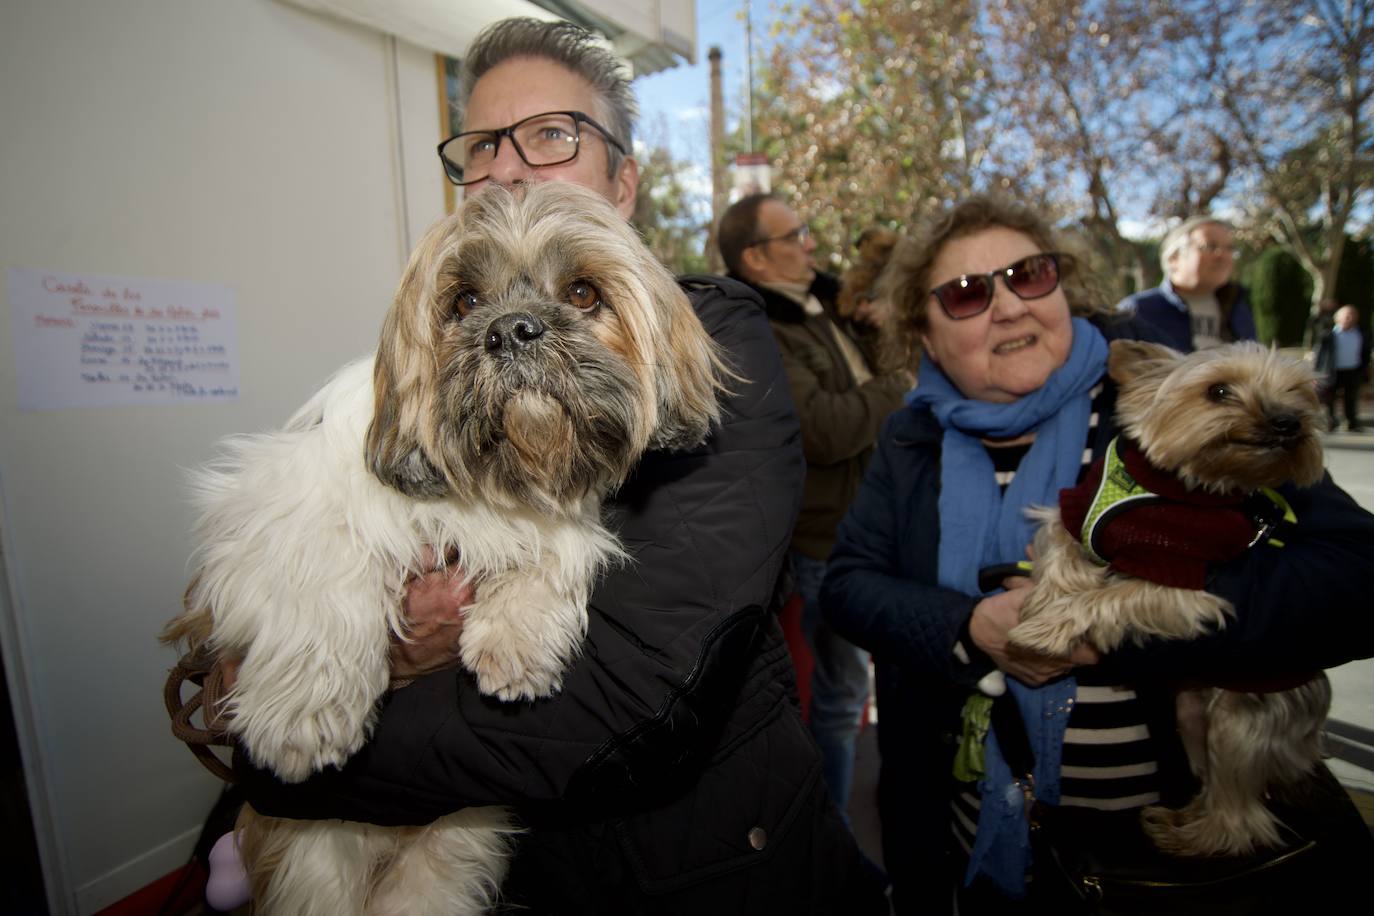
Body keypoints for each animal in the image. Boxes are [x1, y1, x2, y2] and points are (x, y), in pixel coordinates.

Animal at [162, 182, 730, 911]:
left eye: (582, 293)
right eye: (463, 303)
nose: (512, 330)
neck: (490, 479)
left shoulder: (554, 523)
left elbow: (551, 552)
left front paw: (517, 638)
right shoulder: (277, 508)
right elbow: (324, 569)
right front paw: (305, 711)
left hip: (446, 861)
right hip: (313, 862)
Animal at [1011, 339, 1330, 862]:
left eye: (1300, 393)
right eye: (1218, 391)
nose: (1289, 421)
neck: (1164, 486)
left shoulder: (1184, 586)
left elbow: (1113, 594)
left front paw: (1045, 628)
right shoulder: (1074, 512)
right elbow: (1059, 551)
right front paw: (1041, 609)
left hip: (1242, 719)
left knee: (1242, 817)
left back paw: (1192, 837)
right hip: (1191, 715)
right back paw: (1183, 817)